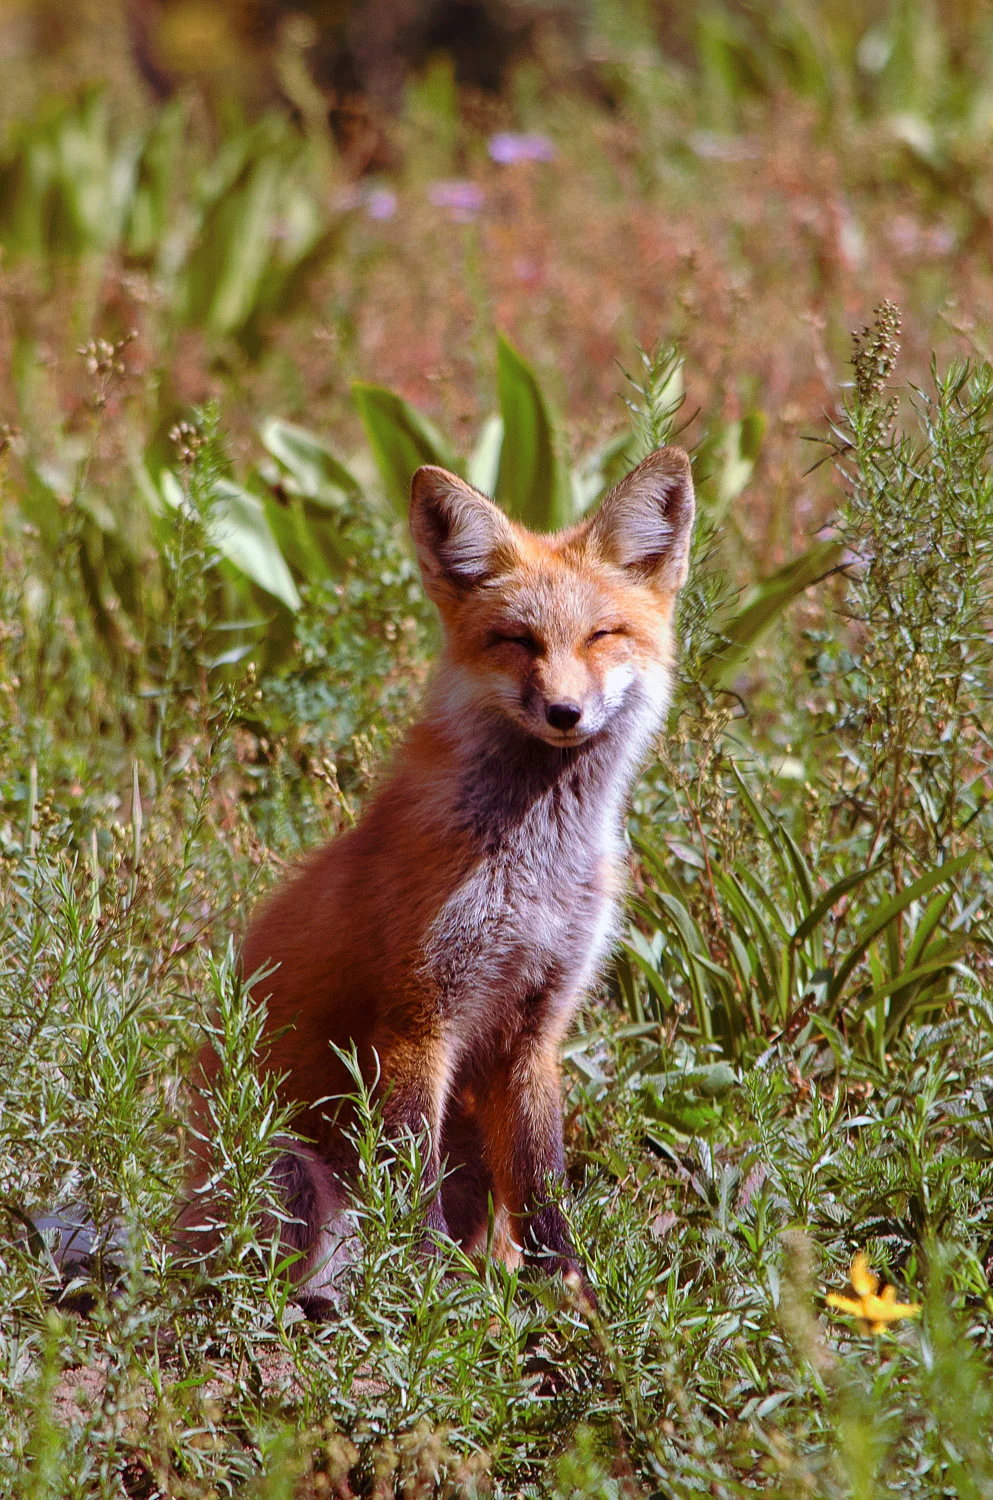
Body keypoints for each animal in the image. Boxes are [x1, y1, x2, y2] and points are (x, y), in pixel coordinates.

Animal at [187, 445, 694, 1305]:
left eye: (603, 635)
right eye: (517, 640)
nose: (564, 713)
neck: (534, 866)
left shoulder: (535, 1027)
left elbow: (543, 1187)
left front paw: (570, 1302)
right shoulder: (417, 1020)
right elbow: (408, 1188)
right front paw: (431, 1305)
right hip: (283, 1173)